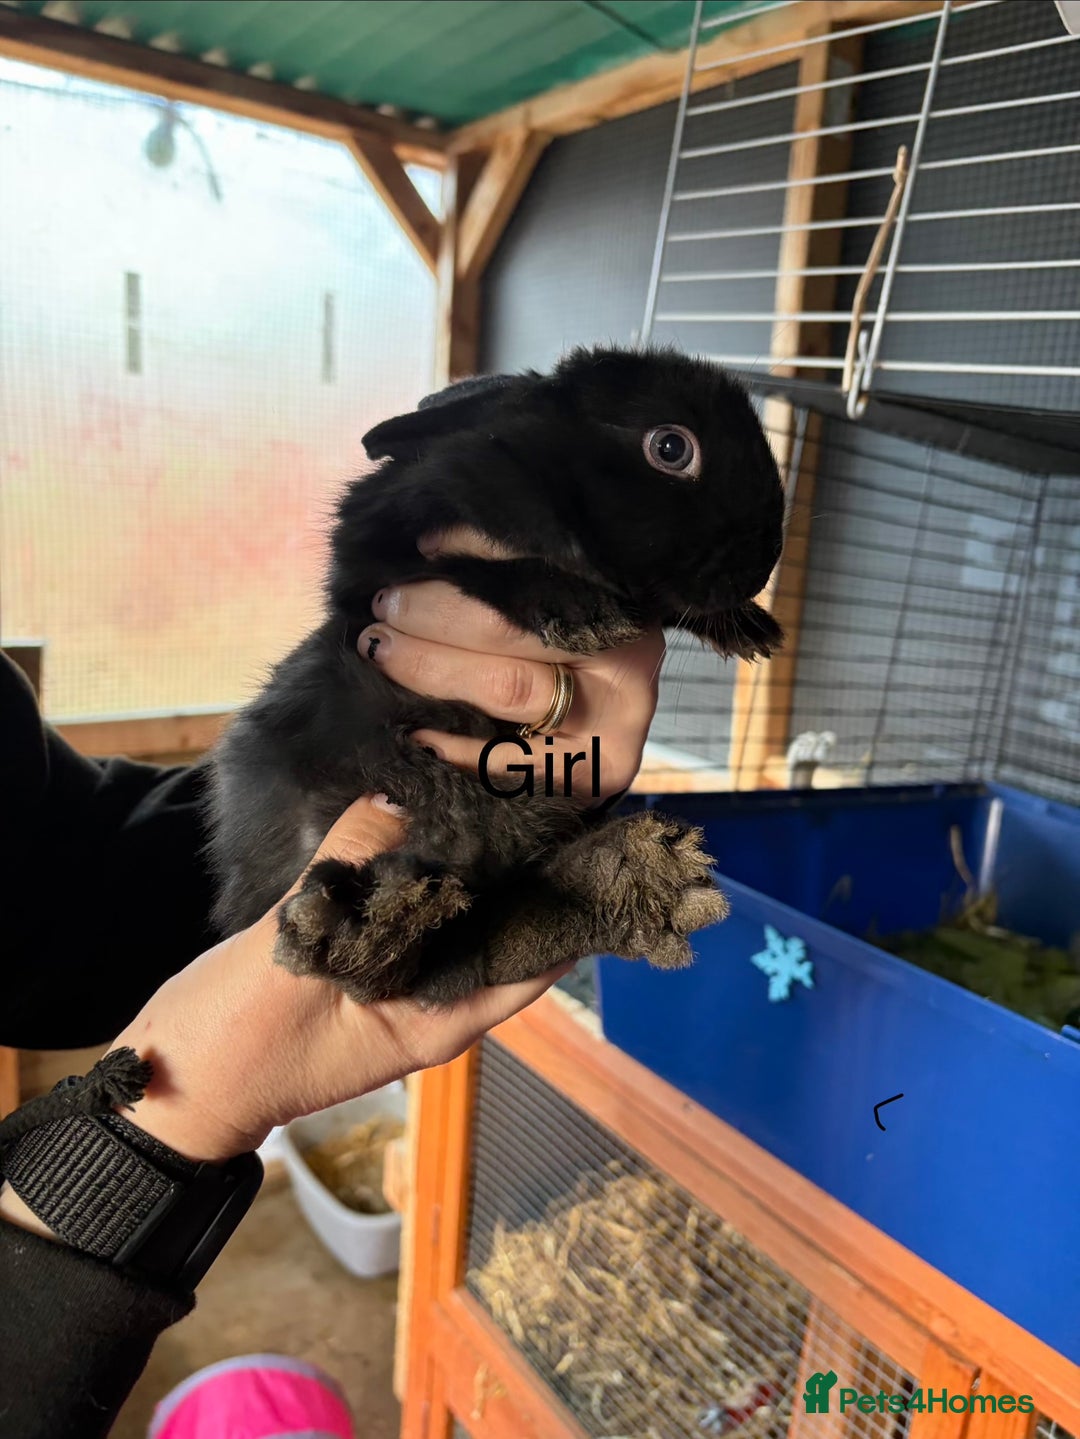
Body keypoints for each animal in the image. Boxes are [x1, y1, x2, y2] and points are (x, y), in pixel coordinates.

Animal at [204, 345, 785, 1006]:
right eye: (670, 447)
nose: (766, 559)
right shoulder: (383, 556)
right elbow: (474, 567)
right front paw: (582, 611)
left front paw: (751, 629)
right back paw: (369, 922)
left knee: (492, 937)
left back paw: (627, 877)